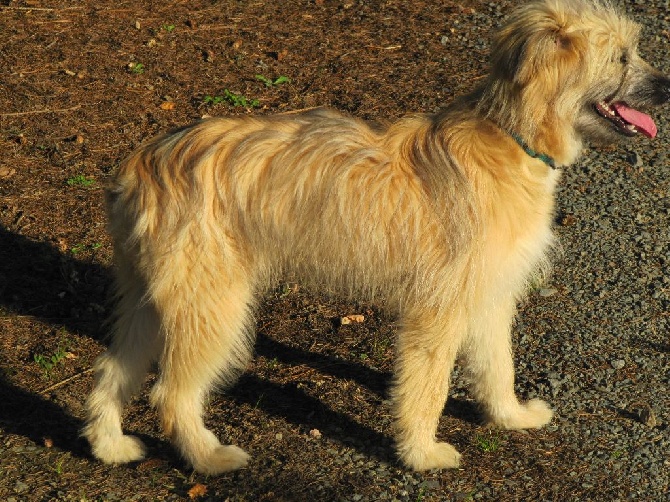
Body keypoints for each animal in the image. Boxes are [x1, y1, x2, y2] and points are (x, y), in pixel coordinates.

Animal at [82, 0, 670, 474]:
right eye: (621, 57)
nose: (665, 87)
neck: (512, 138)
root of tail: (140, 166)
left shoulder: (489, 294)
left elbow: (497, 365)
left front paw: (510, 416)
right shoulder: (438, 308)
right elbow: (429, 384)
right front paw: (422, 454)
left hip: (153, 299)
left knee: (112, 369)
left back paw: (111, 446)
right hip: (212, 306)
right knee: (170, 394)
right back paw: (209, 458)